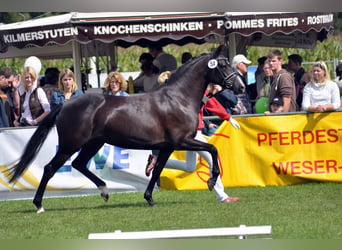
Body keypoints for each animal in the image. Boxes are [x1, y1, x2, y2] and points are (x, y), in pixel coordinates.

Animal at [6, 45, 244, 213]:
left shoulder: (167, 146)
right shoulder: (182, 141)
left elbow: (157, 170)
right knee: (50, 168)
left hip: (94, 143)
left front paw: (150, 199)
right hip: (70, 144)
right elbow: (213, 149)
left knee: (79, 164)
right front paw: (211, 181)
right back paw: (39, 205)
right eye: (223, 65)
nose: (240, 87)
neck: (178, 99)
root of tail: (66, 104)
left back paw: (104, 191)